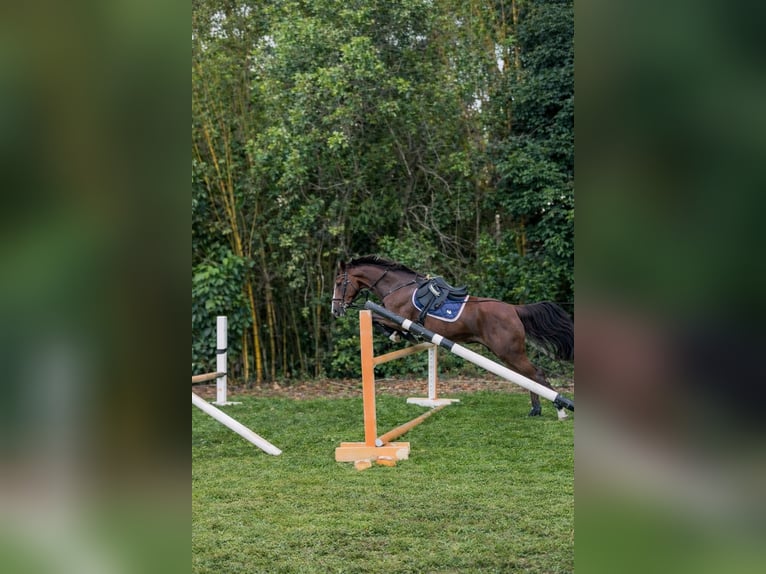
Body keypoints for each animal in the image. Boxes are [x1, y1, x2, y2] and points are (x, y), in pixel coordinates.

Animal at [331, 256, 574, 417]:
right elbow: (377, 320)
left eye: (339, 283)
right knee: (529, 376)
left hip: (508, 352)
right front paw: (400, 335)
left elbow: (376, 319)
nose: (335, 310)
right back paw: (537, 409)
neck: (397, 287)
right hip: (508, 354)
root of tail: (514, 309)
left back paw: (556, 408)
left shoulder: (397, 316)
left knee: (536, 374)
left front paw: (401, 335)